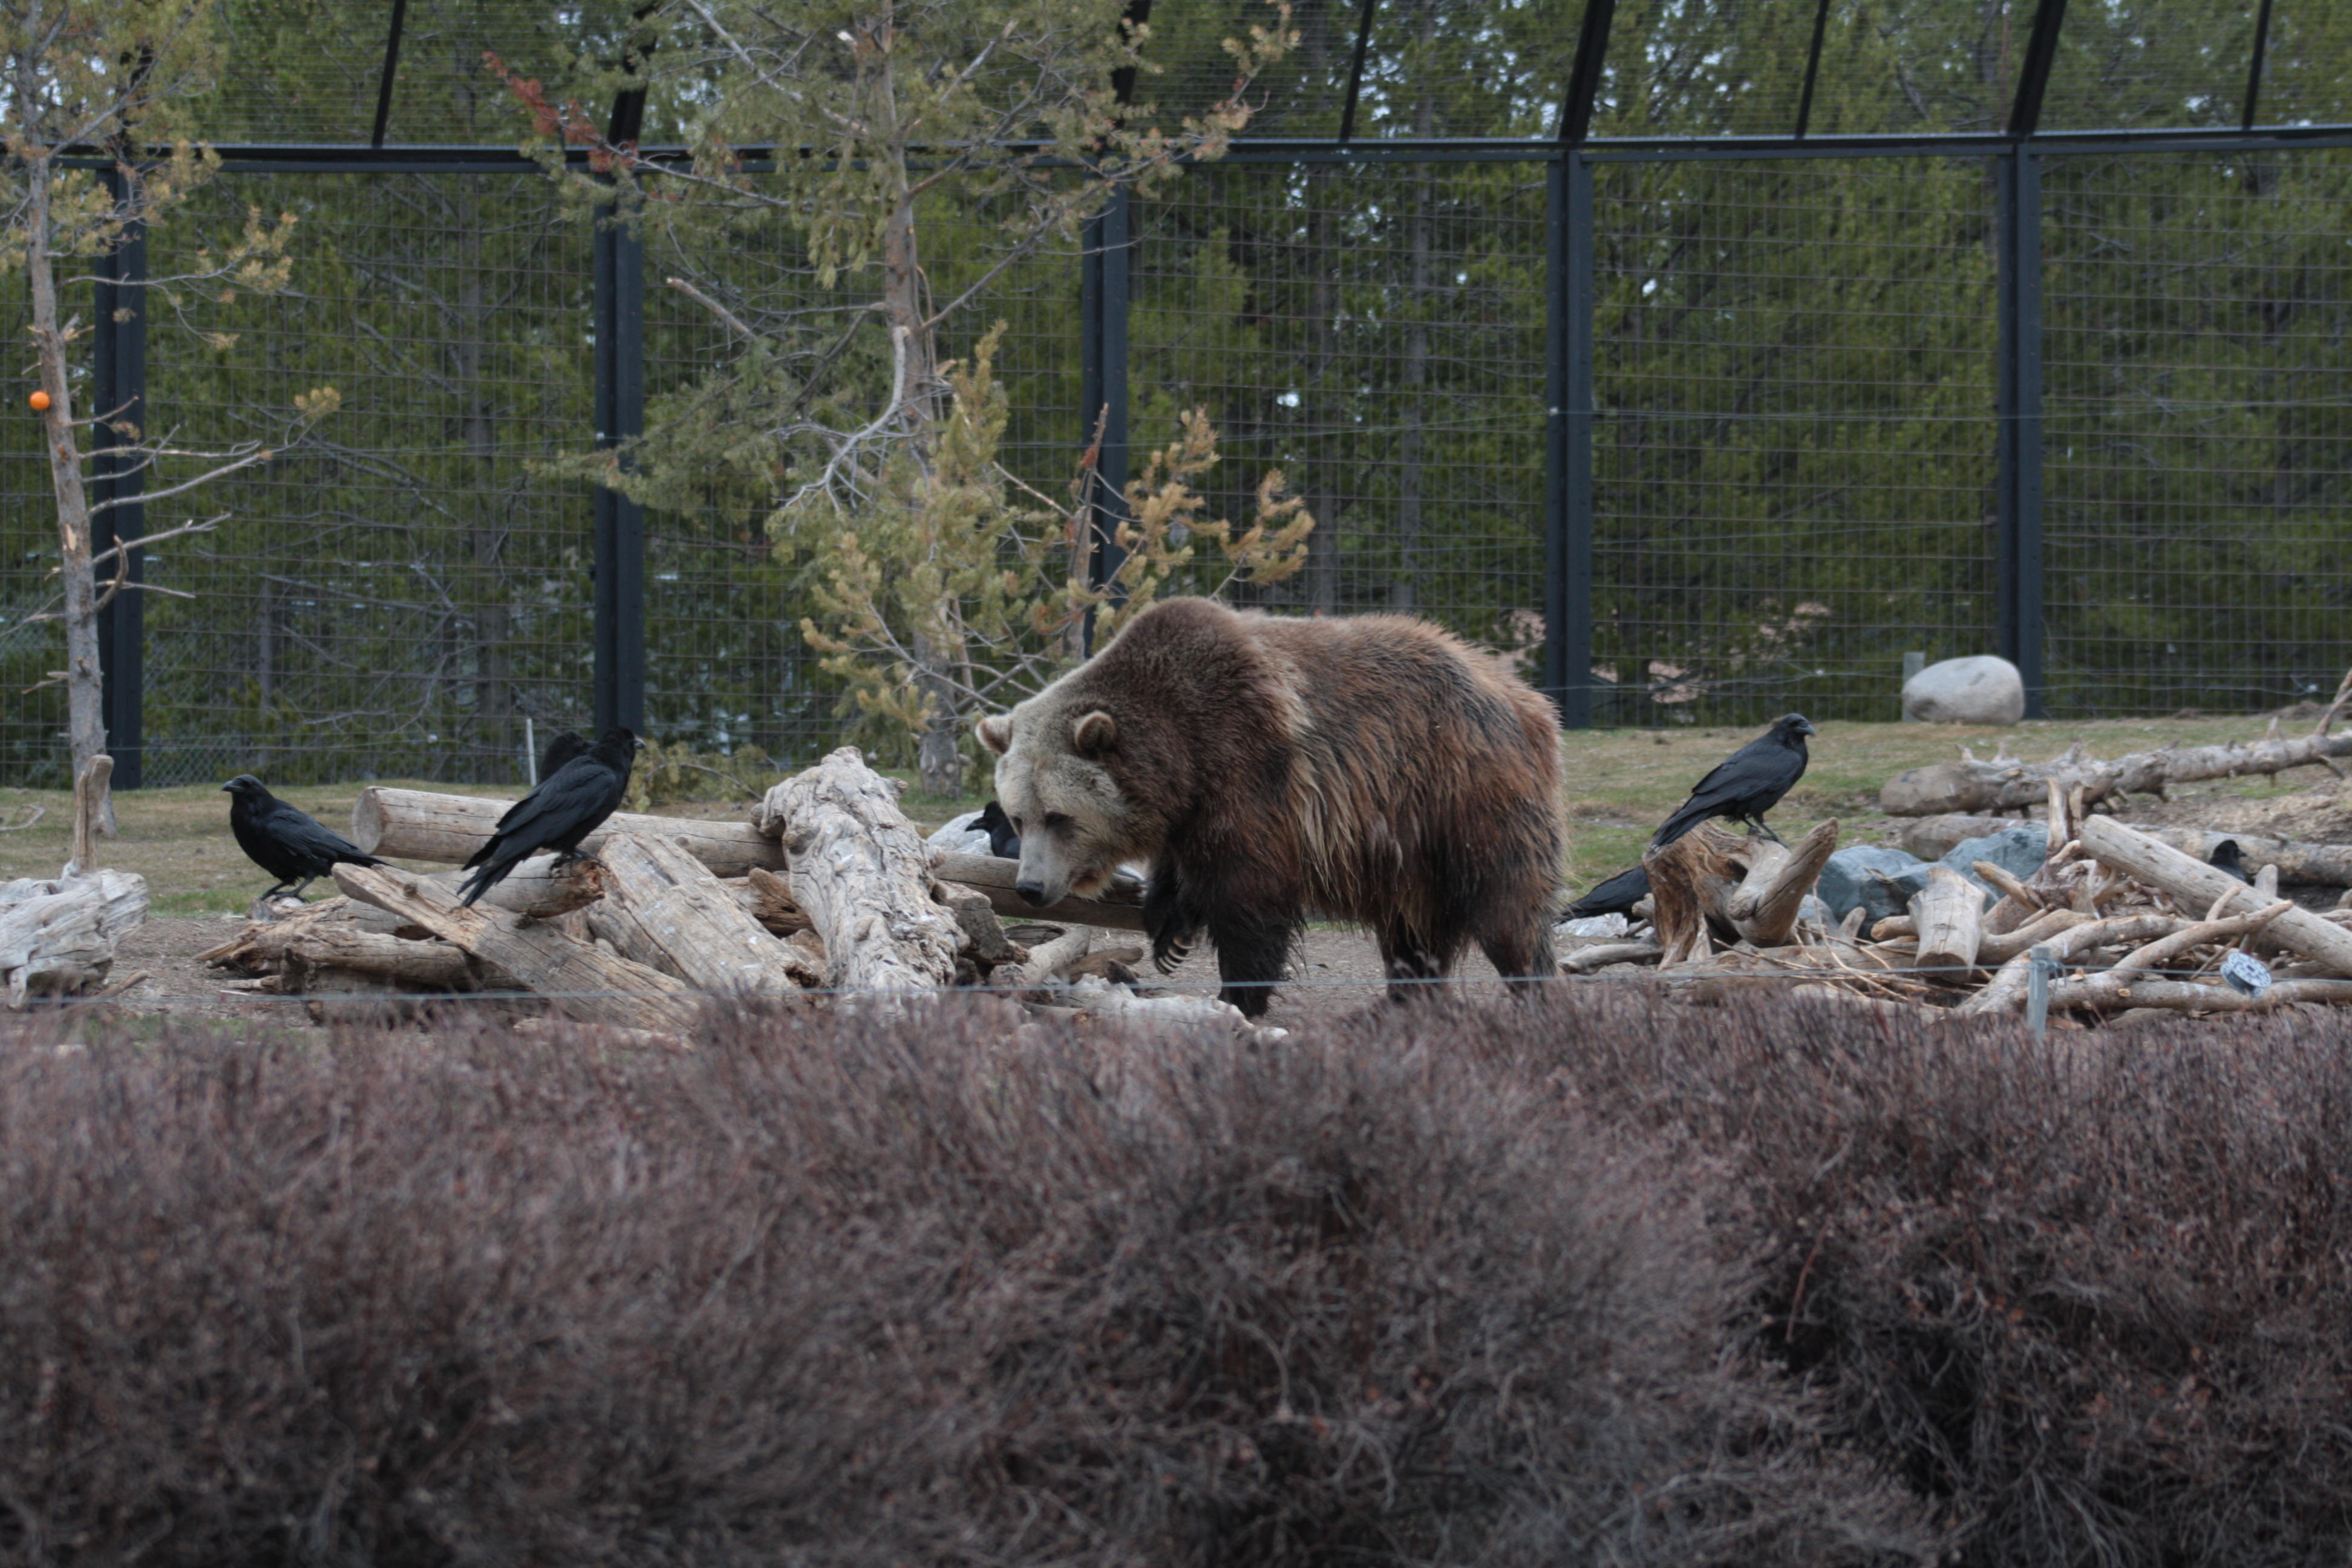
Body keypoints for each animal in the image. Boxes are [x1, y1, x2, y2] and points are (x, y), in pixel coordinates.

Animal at [975, 596, 1565, 1018]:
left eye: (1060, 817)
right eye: (1019, 816)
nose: (1031, 887)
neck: (1181, 756)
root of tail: (1524, 697)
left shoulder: (1251, 769)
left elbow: (1250, 894)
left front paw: (1237, 996)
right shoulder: (1188, 811)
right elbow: (1182, 873)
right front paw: (1169, 932)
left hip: (1463, 793)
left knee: (1507, 903)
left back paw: (1531, 990)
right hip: (1410, 844)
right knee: (1412, 927)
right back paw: (1397, 1001)